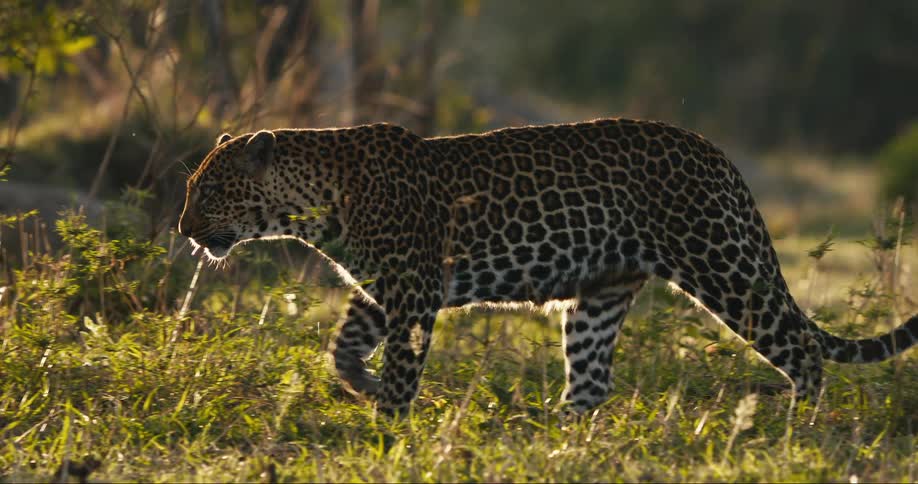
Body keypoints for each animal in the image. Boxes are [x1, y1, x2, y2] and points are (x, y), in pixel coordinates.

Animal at [178, 118, 918, 416]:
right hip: (601, 294)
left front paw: (388, 420)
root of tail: (718, 155)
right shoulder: (383, 290)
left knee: (802, 349)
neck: (315, 201)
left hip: (721, 262)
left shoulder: (413, 291)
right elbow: (342, 346)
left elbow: (403, 366)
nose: (183, 231)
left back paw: (796, 425)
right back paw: (556, 437)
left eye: (209, 192)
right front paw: (358, 384)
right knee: (590, 383)